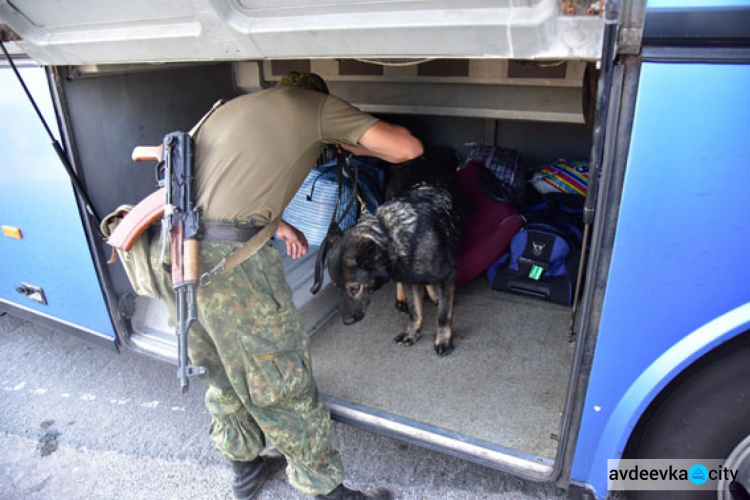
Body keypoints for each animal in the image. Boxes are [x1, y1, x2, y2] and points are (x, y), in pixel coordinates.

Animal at [310, 148, 464, 356]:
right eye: (337, 288)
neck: (392, 235)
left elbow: (443, 315)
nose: (347, 322)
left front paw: (443, 340)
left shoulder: (447, 276)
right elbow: (415, 311)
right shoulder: (408, 279)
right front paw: (412, 333)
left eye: (354, 288)